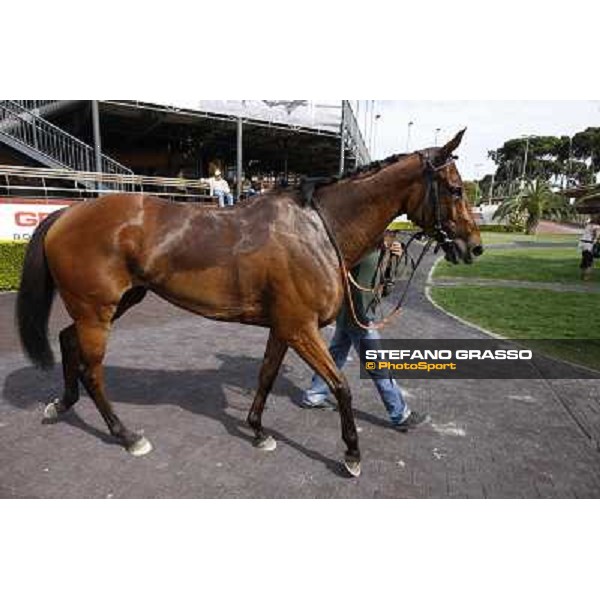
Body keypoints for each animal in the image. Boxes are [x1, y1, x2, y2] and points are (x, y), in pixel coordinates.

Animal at [15, 130, 482, 478]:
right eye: (455, 189)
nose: (473, 247)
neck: (317, 230)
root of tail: (65, 214)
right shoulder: (300, 327)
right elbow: (341, 386)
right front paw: (351, 454)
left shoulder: (284, 327)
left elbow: (266, 376)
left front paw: (258, 430)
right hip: (98, 311)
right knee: (92, 370)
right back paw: (127, 435)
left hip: (117, 302)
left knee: (67, 339)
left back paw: (62, 403)